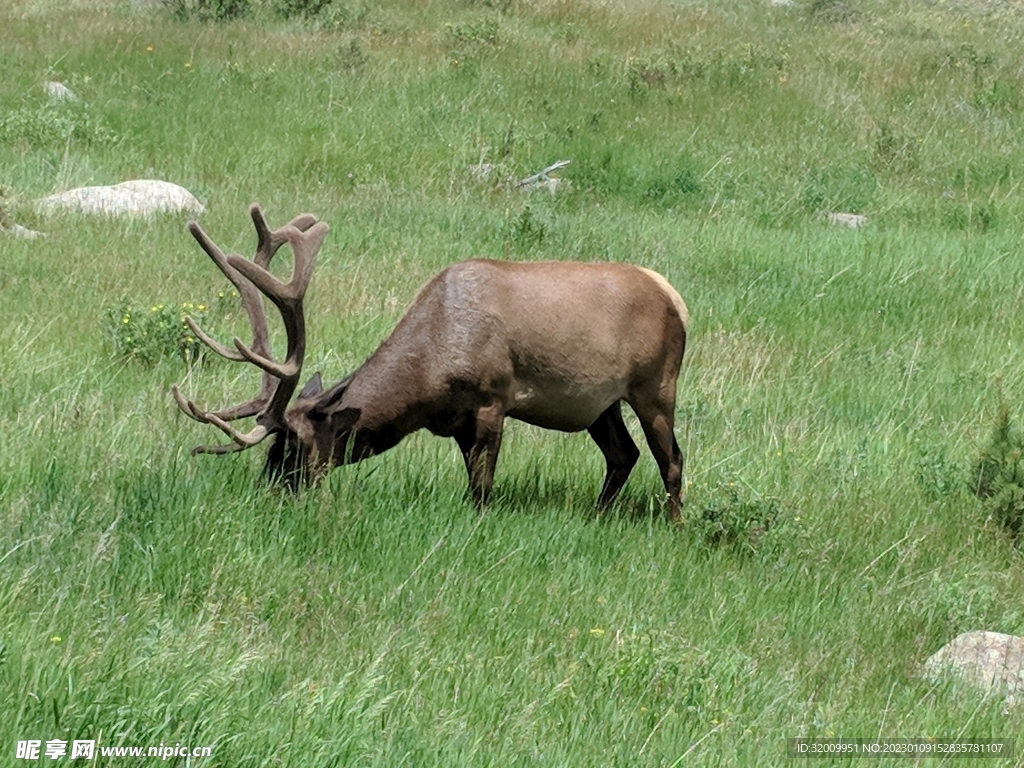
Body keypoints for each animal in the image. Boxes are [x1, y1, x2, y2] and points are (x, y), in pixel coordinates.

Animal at [172, 205, 689, 520]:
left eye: (293, 445)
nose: (269, 492)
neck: (427, 380)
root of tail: (674, 296)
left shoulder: (493, 399)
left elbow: (482, 488)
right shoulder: (455, 421)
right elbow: (472, 480)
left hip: (656, 386)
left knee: (671, 459)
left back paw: (675, 526)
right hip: (601, 404)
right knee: (623, 455)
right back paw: (598, 515)